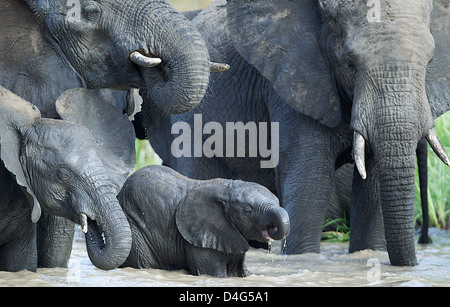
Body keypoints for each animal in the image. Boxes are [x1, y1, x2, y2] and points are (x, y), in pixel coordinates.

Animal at [118, 166, 290, 280]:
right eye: (248, 211)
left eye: (277, 201)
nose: (273, 228)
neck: (227, 189)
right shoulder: (198, 237)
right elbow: (215, 274)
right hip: (133, 228)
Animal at [134, 0, 450, 266]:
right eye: (349, 63)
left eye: (429, 62)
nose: (411, 264)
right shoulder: (290, 82)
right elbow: (311, 186)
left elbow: (371, 193)